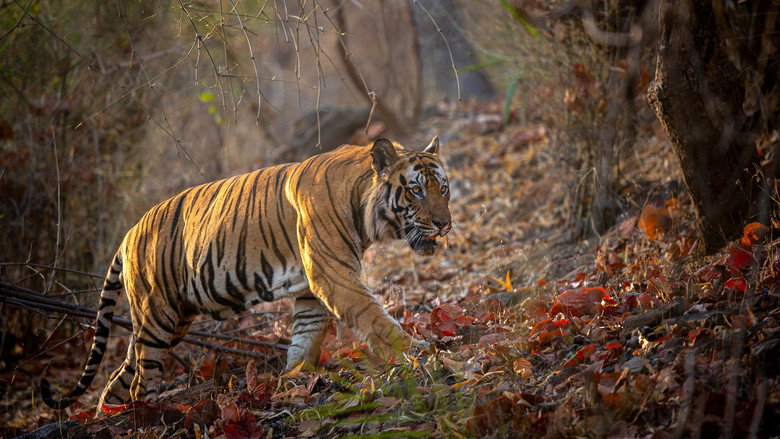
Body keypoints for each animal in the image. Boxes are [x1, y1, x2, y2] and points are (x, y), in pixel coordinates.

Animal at [41, 136, 452, 411]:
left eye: (444, 189)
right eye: (416, 190)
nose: (444, 224)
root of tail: (128, 233)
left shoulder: (311, 289)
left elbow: (305, 340)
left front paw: (294, 381)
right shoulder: (333, 277)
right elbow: (375, 318)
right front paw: (415, 353)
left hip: (163, 324)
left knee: (118, 379)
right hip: (157, 317)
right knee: (141, 382)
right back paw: (150, 415)